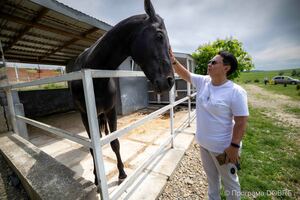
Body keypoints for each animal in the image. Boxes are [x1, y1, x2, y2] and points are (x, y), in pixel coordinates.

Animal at [65, 0, 173, 185]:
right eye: (159, 36)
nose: (170, 81)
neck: (94, 77)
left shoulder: (111, 111)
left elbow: (115, 142)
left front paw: (122, 173)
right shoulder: (85, 115)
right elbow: (93, 148)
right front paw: (96, 178)